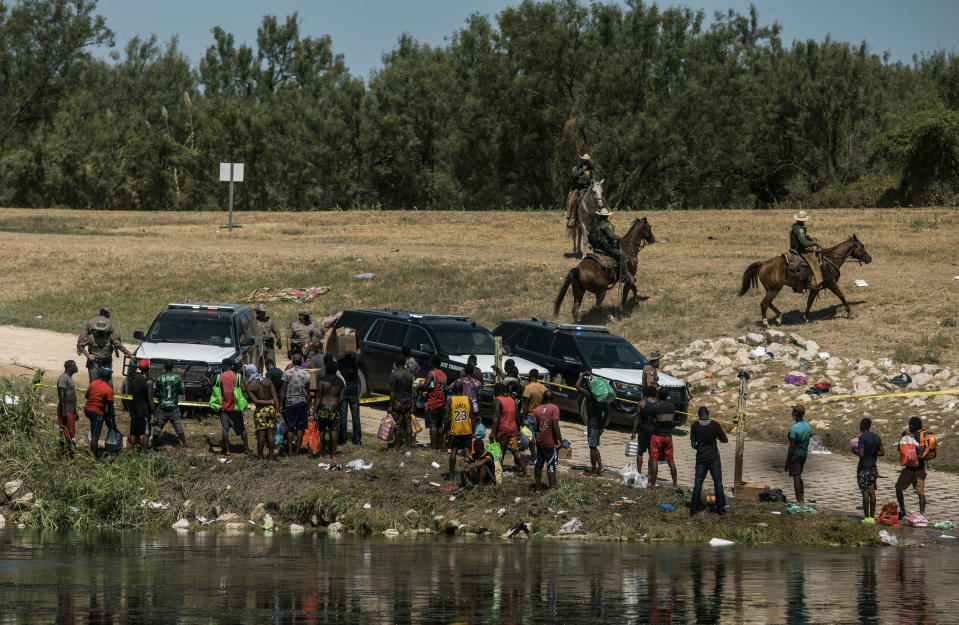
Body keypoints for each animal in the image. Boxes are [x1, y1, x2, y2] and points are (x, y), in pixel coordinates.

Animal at [740, 232, 872, 324]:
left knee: (768, 303)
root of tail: (763, 263)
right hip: (773, 289)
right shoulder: (831, 283)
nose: (869, 258)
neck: (831, 259)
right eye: (862, 247)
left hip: (772, 289)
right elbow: (842, 296)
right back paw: (766, 323)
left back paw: (779, 316)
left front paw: (806, 317)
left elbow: (809, 302)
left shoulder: (815, 288)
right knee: (764, 303)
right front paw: (849, 313)